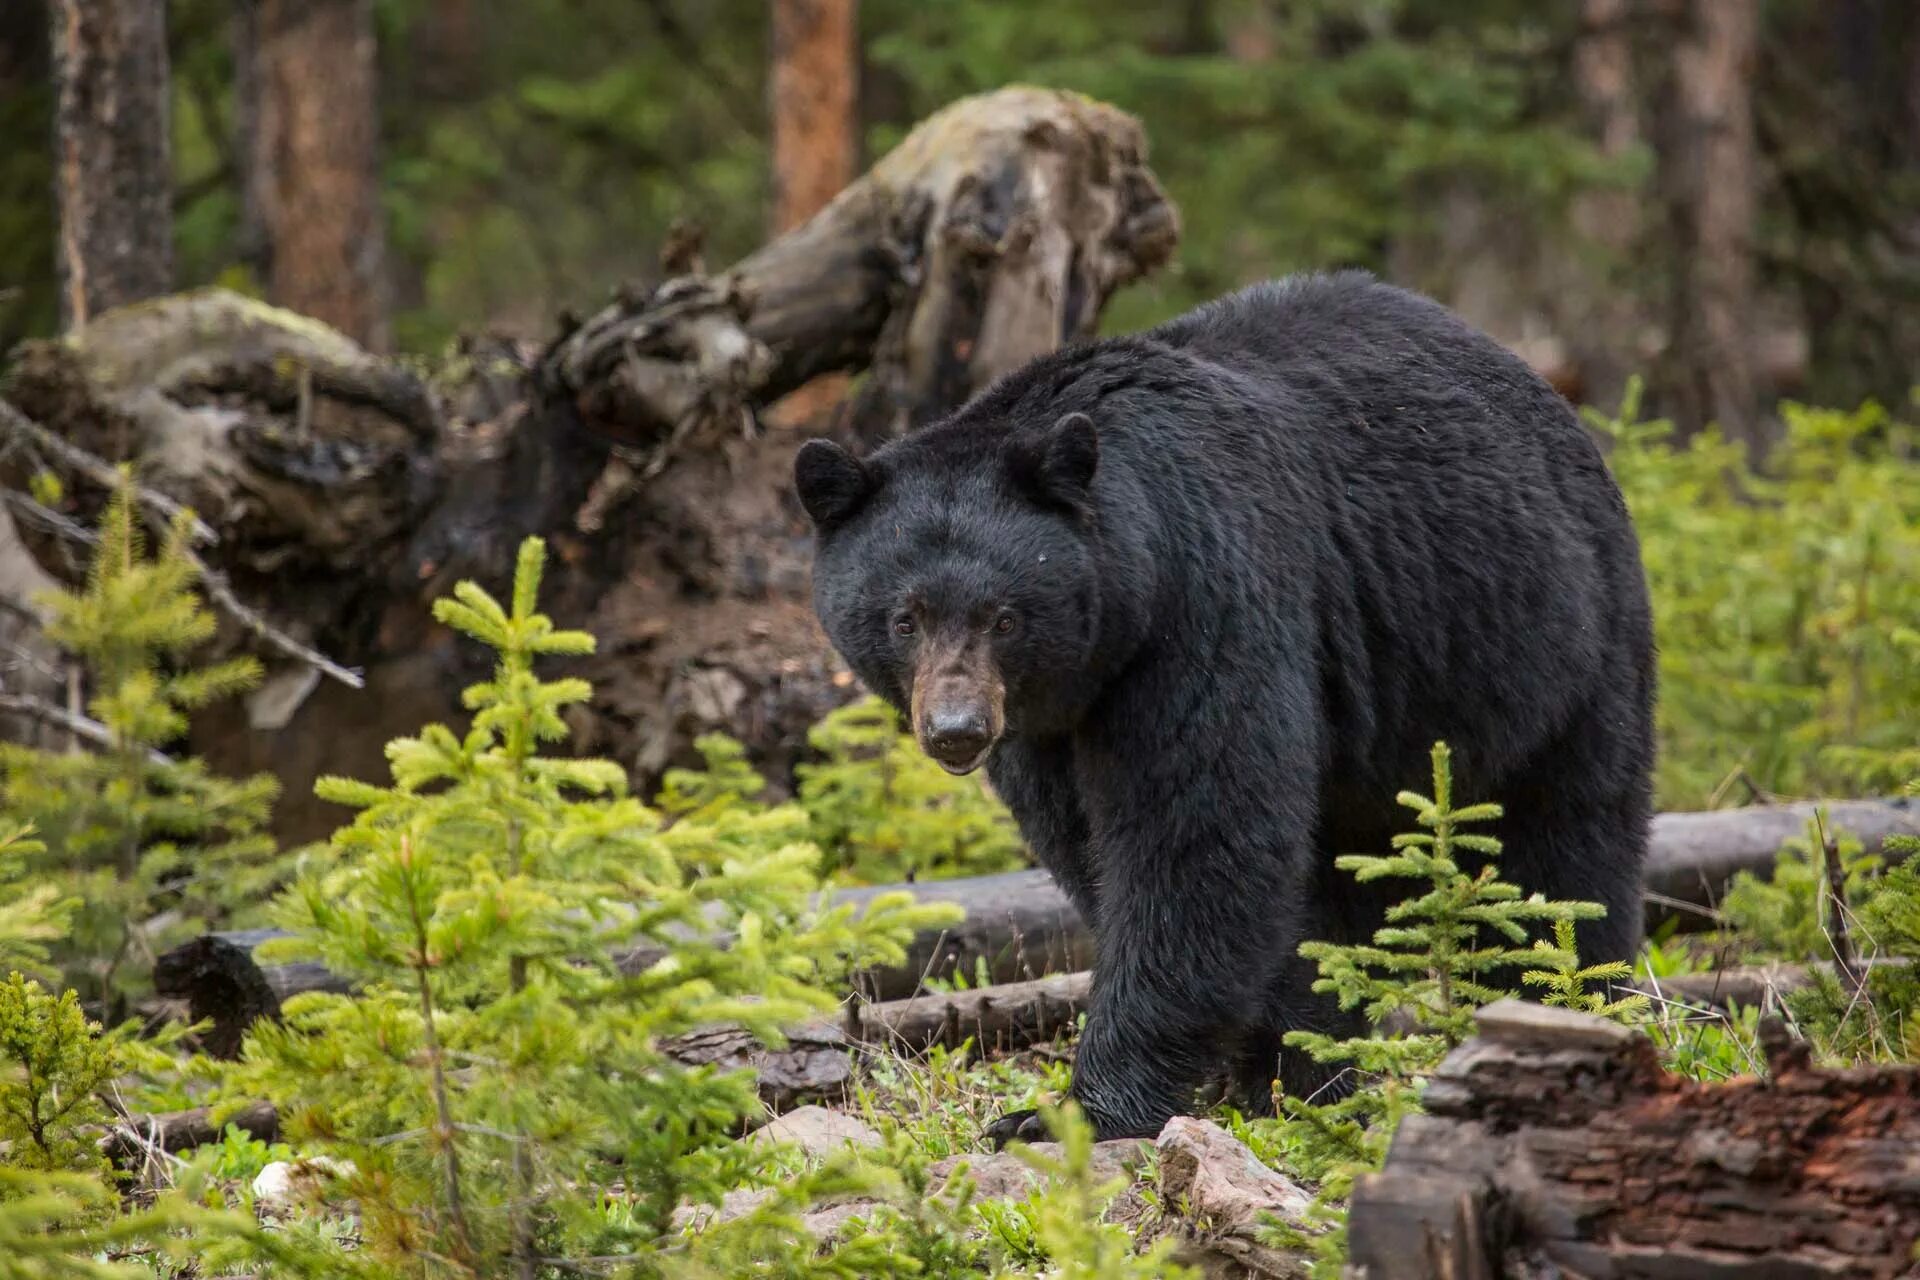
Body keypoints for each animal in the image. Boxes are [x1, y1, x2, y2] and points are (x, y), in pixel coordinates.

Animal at [791, 270, 1651, 1143]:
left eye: (1004, 616)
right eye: (905, 617)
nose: (957, 731)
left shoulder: (1208, 599)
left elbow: (1196, 835)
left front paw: (1075, 1110)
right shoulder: (1051, 719)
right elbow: (1094, 844)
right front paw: (1280, 1065)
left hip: (1551, 643)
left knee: (1563, 845)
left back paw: (1561, 1003)